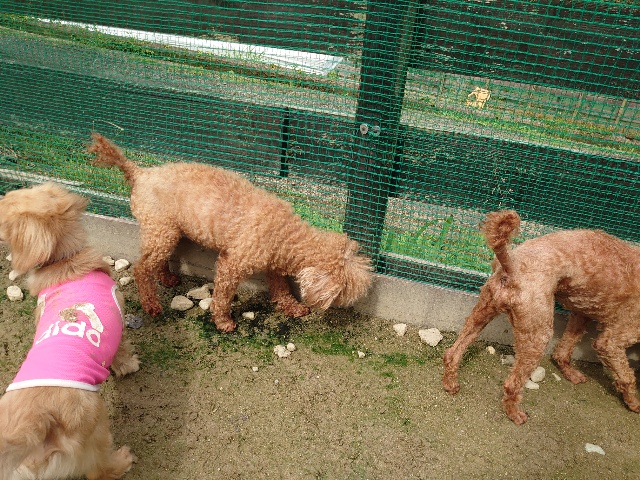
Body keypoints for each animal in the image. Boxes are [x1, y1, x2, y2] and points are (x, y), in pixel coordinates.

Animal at [0, 182, 140, 479]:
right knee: (98, 470)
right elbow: (122, 353)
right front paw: (129, 365)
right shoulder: (119, 318)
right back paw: (122, 461)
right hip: (96, 423)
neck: (65, 263)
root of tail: (37, 423)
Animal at [87, 133, 373, 332]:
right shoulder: (231, 264)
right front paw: (223, 322)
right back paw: (152, 305)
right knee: (141, 268)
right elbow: (223, 296)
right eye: (345, 293)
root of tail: (140, 172)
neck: (285, 233)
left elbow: (281, 288)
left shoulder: (274, 264)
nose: (346, 308)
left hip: (167, 232)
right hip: (160, 230)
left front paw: (292, 307)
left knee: (155, 262)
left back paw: (168, 279)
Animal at [443, 209, 640, 424]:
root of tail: (511, 264)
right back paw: (515, 413)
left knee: (453, 352)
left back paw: (450, 384)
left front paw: (570, 373)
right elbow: (627, 377)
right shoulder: (613, 341)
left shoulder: (581, 313)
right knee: (511, 384)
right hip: (538, 333)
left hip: (483, 311)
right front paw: (634, 403)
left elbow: (563, 350)